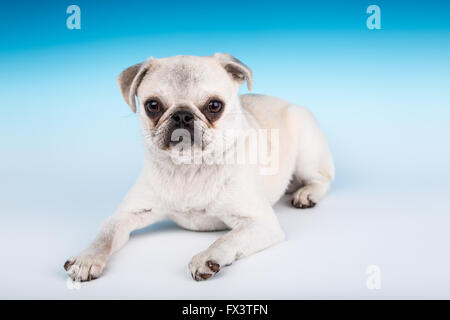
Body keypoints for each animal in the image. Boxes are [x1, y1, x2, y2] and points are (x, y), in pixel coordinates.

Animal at [63, 53, 334, 282]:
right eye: (153, 106)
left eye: (214, 106)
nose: (182, 115)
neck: (189, 167)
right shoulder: (127, 214)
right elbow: (105, 234)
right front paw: (87, 257)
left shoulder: (261, 223)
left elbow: (227, 239)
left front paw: (208, 258)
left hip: (306, 153)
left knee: (323, 179)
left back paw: (306, 193)